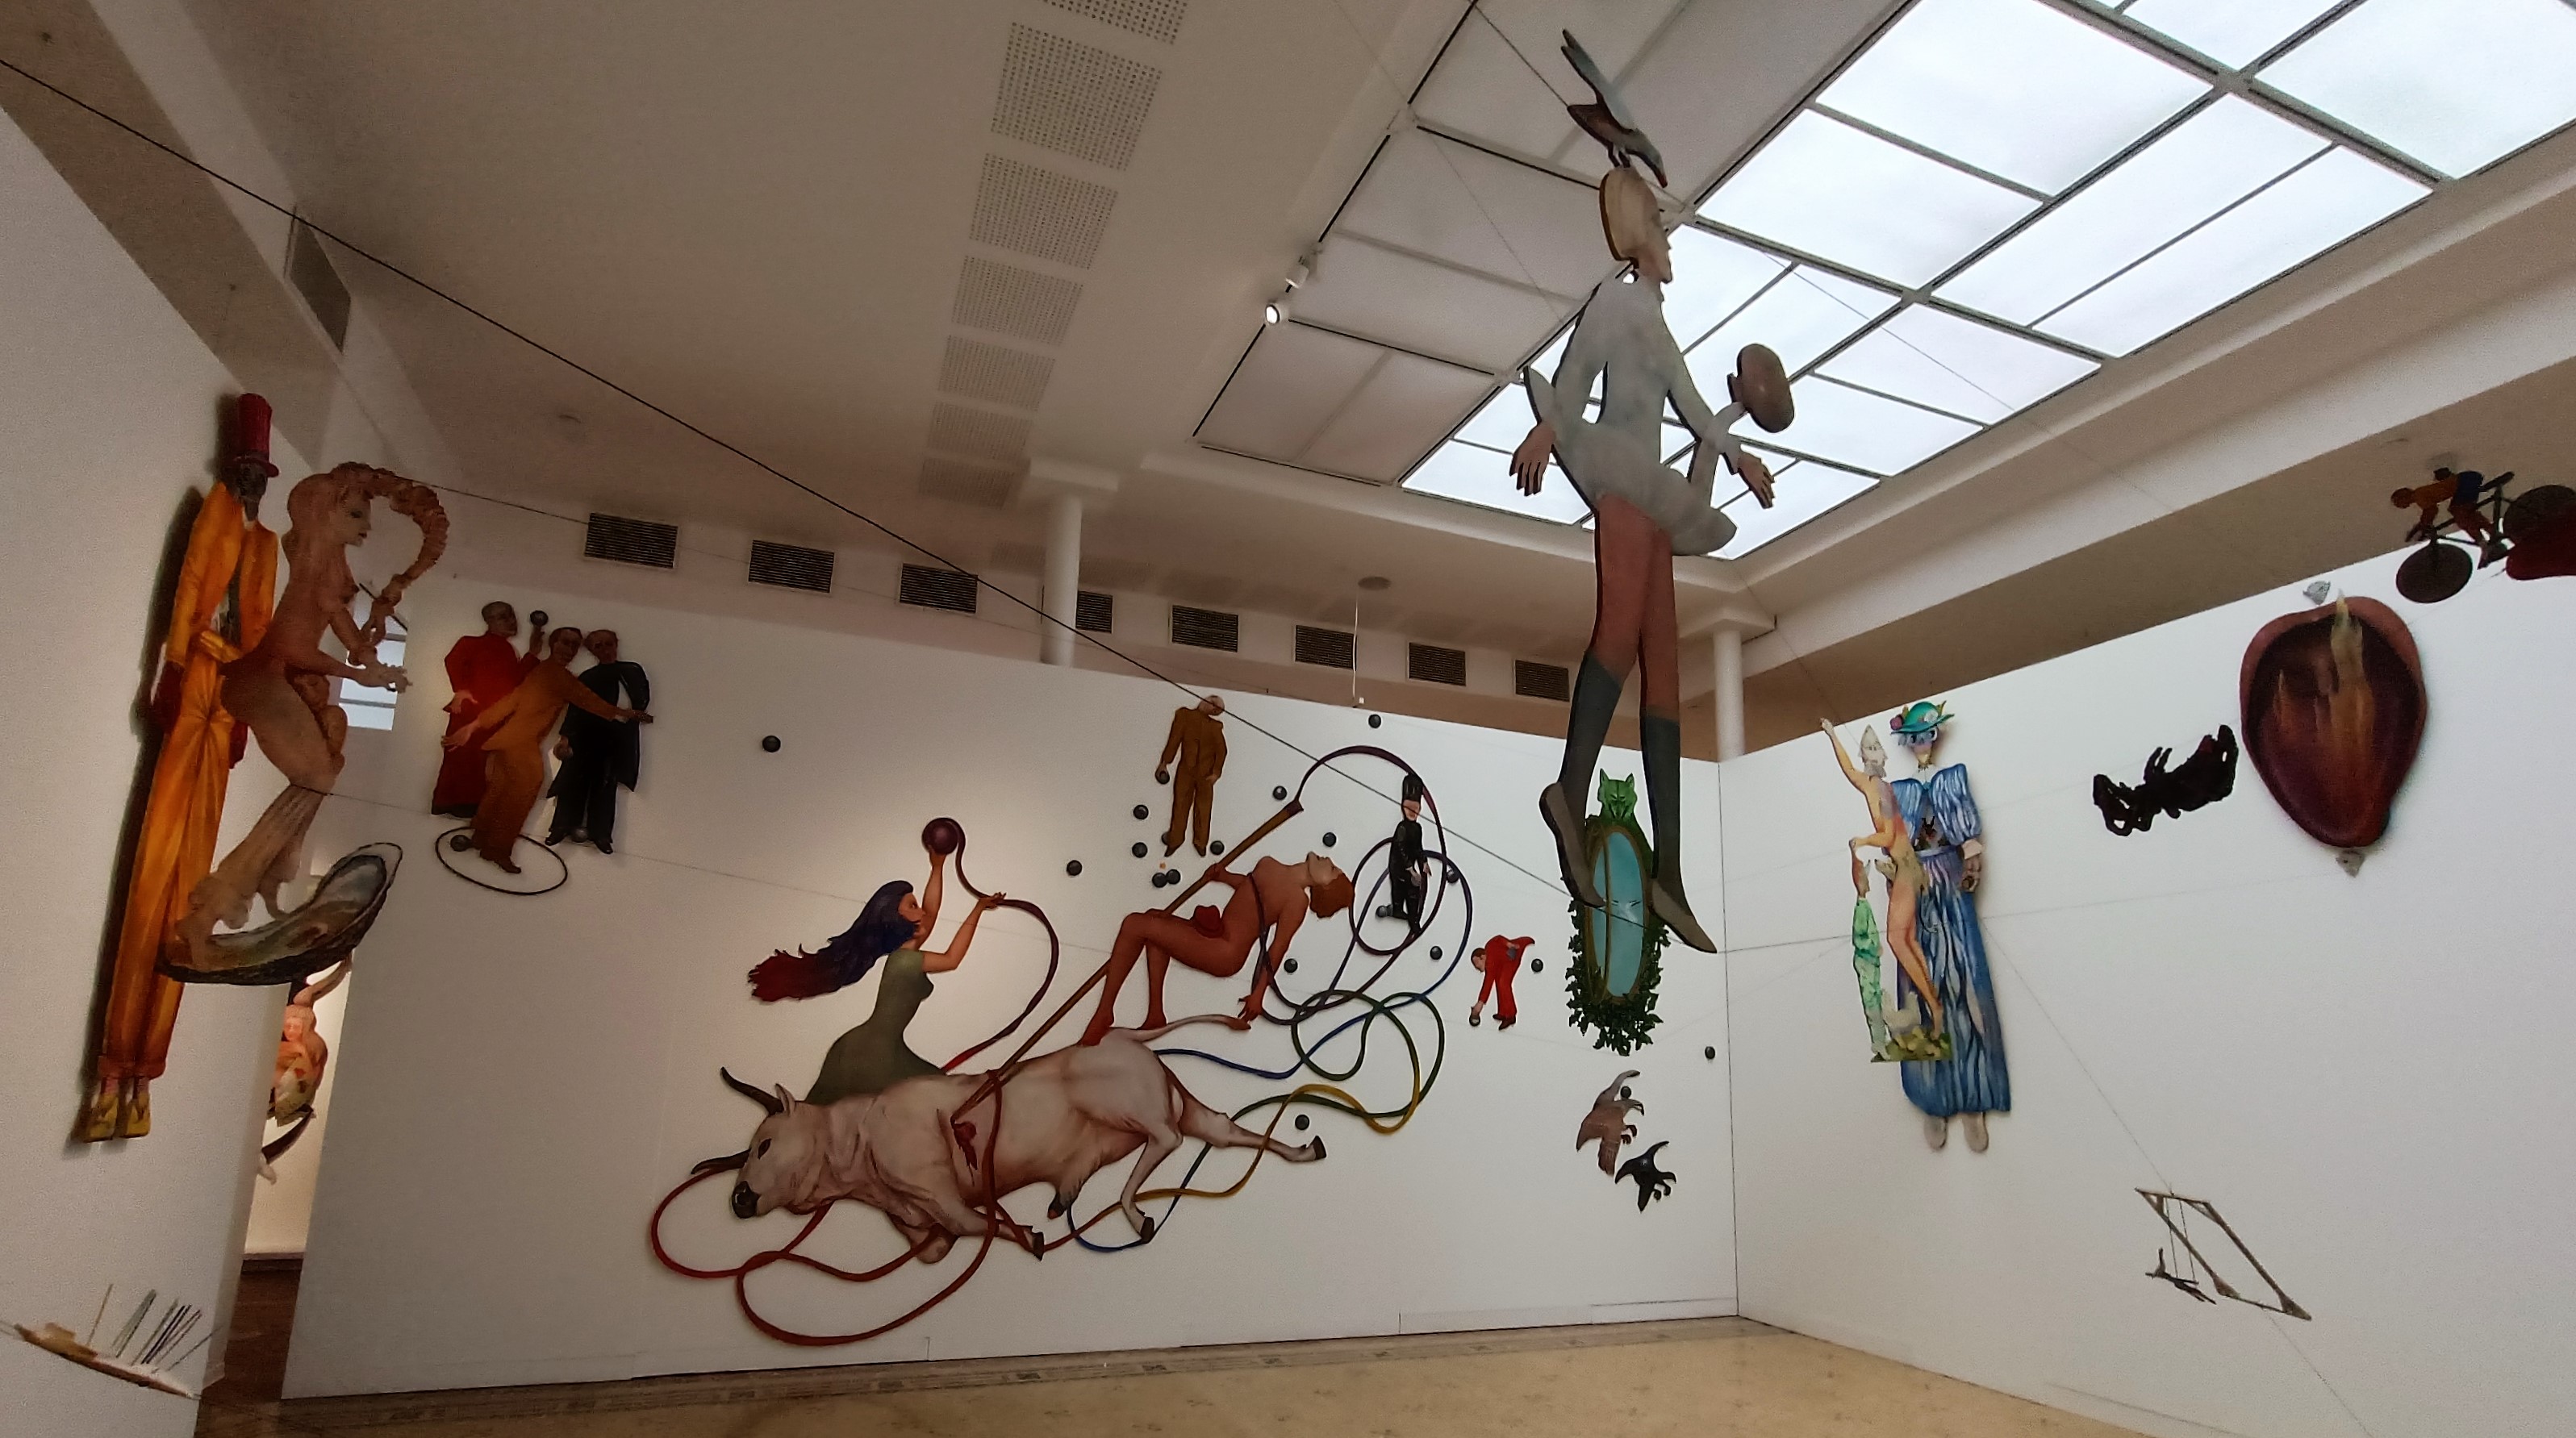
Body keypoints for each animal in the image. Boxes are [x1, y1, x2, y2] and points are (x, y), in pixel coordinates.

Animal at [695, 1016, 1322, 1262]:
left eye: (764, 1143)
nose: (739, 1198)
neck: (858, 1146)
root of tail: (1125, 1034)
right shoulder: (923, 1222)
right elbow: (942, 1244)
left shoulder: (942, 1192)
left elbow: (982, 1223)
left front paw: (1029, 1234)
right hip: (1180, 1104)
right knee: (1223, 1128)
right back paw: (1304, 1148)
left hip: (1127, 1104)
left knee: (1166, 1140)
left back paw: (1123, 1209)